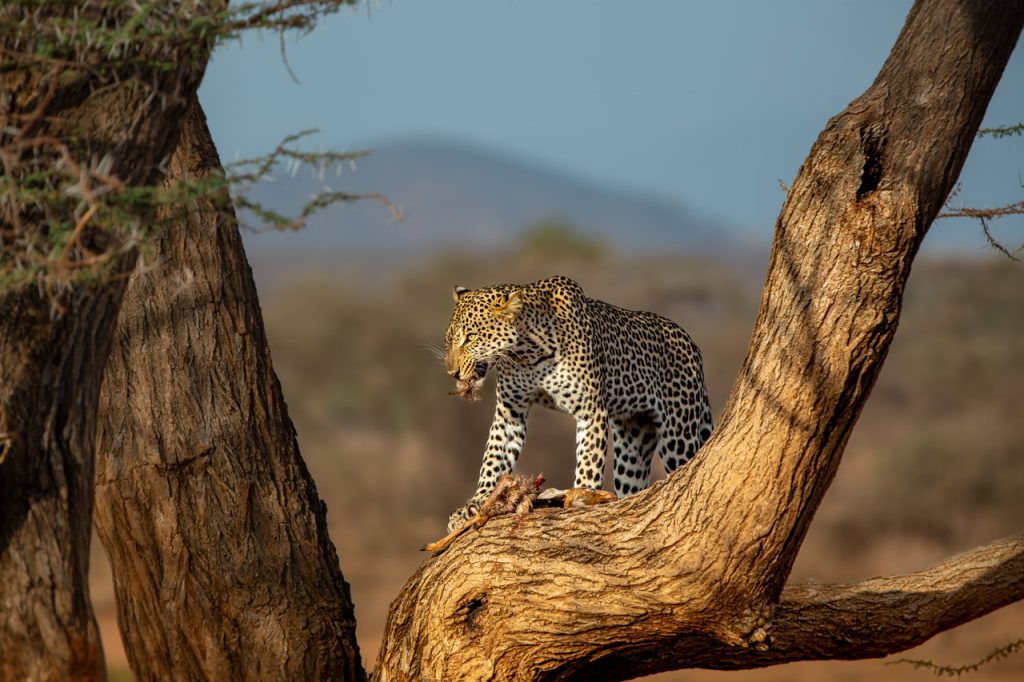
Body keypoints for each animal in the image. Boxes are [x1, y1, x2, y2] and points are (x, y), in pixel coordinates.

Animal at [440, 274, 712, 528]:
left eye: (471, 337)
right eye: (449, 339)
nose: (452, 372)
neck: (527, 354)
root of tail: (692, 343)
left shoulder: (591, 410)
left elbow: (589, 461)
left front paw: (582, 498)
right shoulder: (510, 410)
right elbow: (494, 457)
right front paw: (478, 501)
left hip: (679, 435)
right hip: (633, 442)